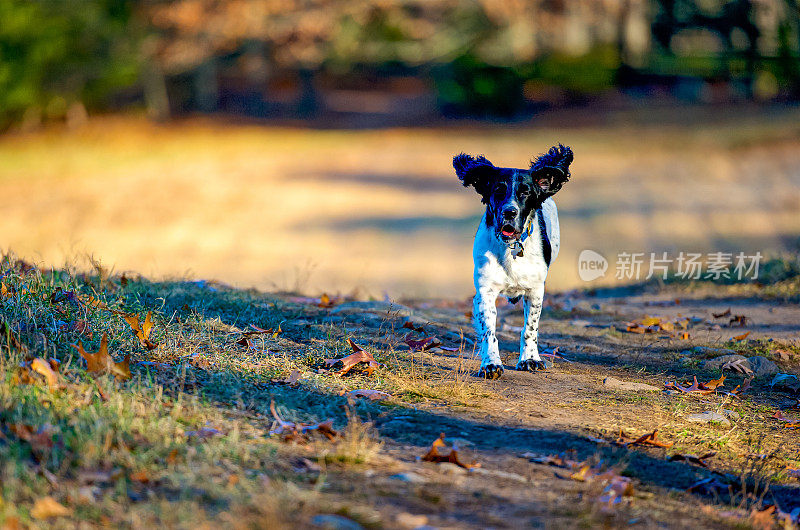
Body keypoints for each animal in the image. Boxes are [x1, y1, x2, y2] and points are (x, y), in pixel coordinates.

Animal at [454, 143, 572, 376]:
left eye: (525, 192)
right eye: (498, 190)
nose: (510, 211)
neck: (511, 248)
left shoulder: (535, 290)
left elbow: (530, 328)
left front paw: (530, 359)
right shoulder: (486, 291)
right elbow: (489, 331)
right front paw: (491, 363)